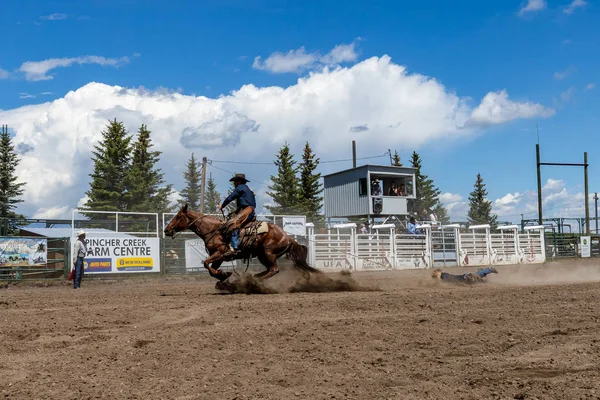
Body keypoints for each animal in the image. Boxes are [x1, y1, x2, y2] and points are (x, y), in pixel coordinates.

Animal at [162, 205, 322, 282]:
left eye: (178, 216)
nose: (166, 230)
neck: (213, 230)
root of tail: (288, 237)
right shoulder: (219, 258)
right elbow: (210, 269)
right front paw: (223, 275)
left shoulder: (219, 253)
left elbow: (206, 264)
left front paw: (224, 274)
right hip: (262, 255)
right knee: (269, 269)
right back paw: (254, 278)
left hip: (268, 252)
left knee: (274, 269)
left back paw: (256, 282)